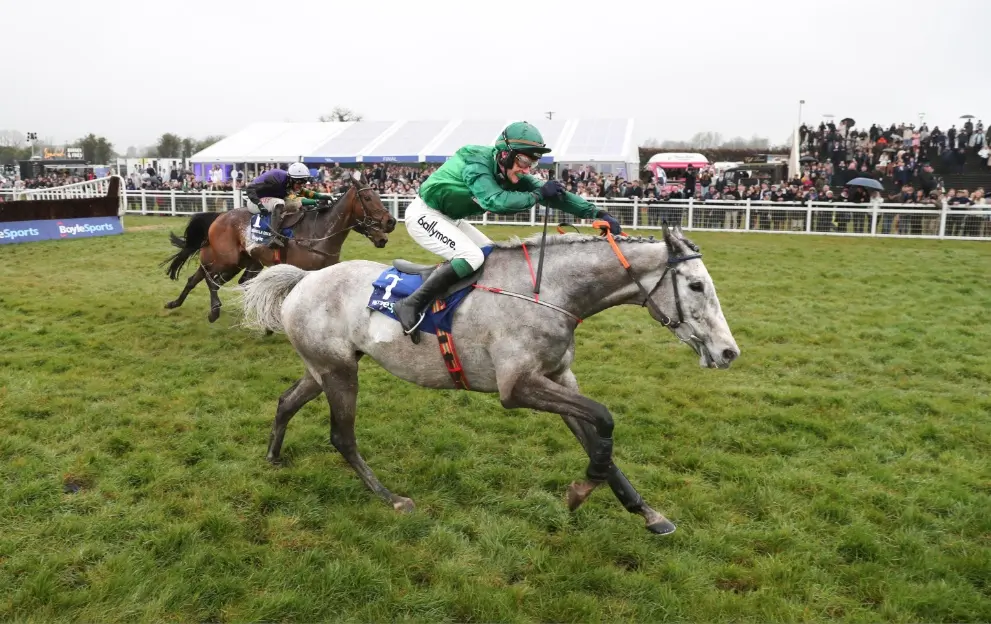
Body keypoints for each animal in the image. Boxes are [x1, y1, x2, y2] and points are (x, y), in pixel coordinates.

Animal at [163, 174, 396, 324]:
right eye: (368, 198)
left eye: (379, 197)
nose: (391, 222)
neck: (319, 232)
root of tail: (219, 217)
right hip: (226, 260)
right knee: (211, 280)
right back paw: (213, 311)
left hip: (242, 262)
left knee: (208, 279)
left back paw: (177, 303)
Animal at [238, 222, 736, 532]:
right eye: (696, 286)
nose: (728, 352)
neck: (548, 293)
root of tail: (304, 278)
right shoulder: (517, 387)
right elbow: (605, 418)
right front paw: (580, 491)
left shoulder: (559, 379)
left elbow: (599, 441)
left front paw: (647, 512)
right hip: (339, 372)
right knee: (342, 436)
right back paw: (391, 497)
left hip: (325, 367)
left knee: (286, 402)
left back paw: (273, 456)